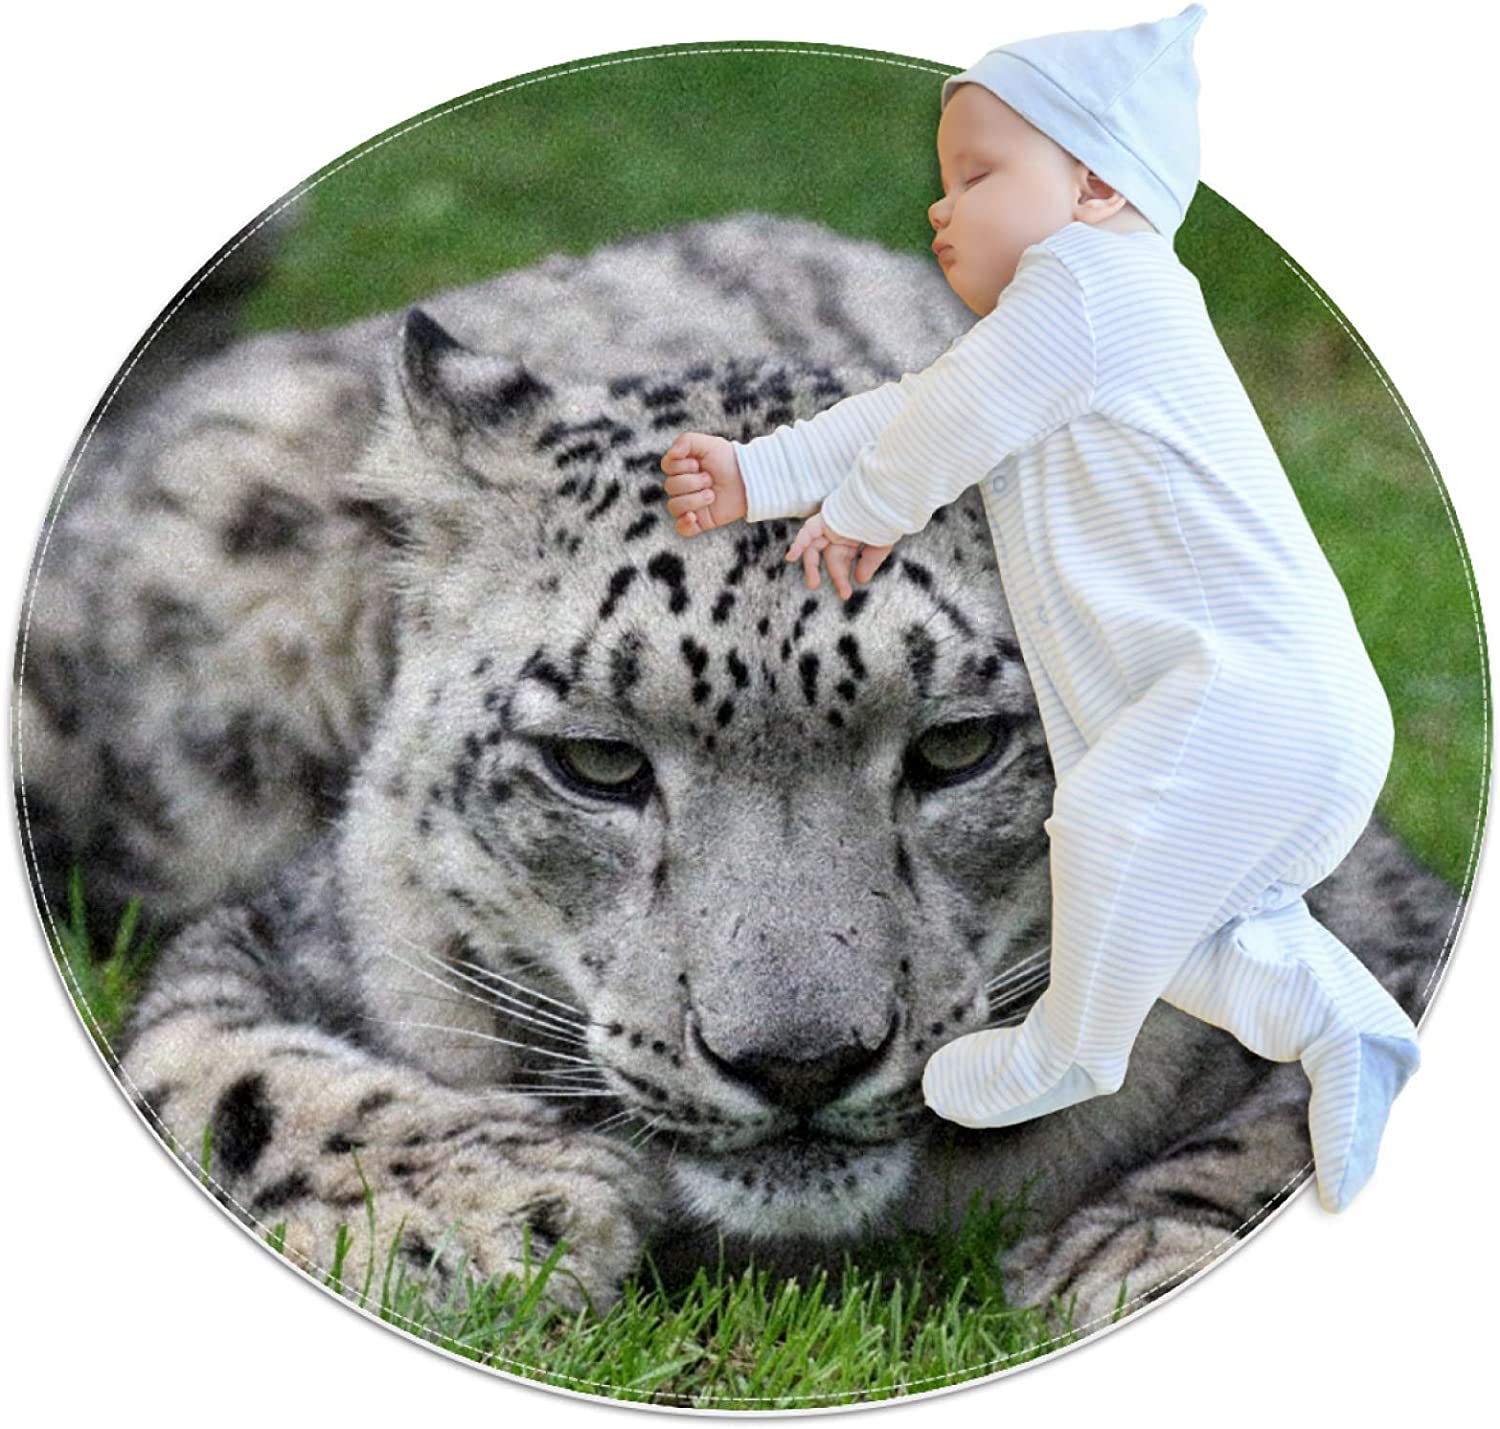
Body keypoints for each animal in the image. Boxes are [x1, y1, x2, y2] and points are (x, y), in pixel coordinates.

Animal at [12, 213, 1450, 1352]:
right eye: (597, 761)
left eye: (959, 746)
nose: (799, 1061)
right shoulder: (285, 935)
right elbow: (213, 1065)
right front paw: (500, 1206)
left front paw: (1142, 1256)